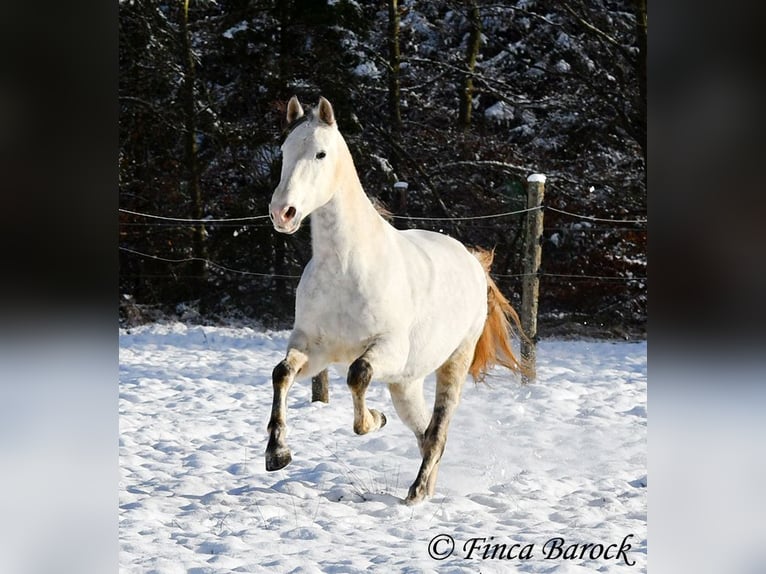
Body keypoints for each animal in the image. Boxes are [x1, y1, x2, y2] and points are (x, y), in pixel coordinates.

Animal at [266, 97, 528, 506]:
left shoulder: (387, 348)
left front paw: (374, 420)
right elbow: (282, 373)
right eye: (283, 150)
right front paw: (277, 454)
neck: (345, 266)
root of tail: (472, 260)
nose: (283, 212)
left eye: (321, 153)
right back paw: (426, 489)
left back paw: (416, 493)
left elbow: (358, 376)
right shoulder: (314, 349)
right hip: (406, 384)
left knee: (437, 434)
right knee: (425, 434)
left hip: (453, 364)